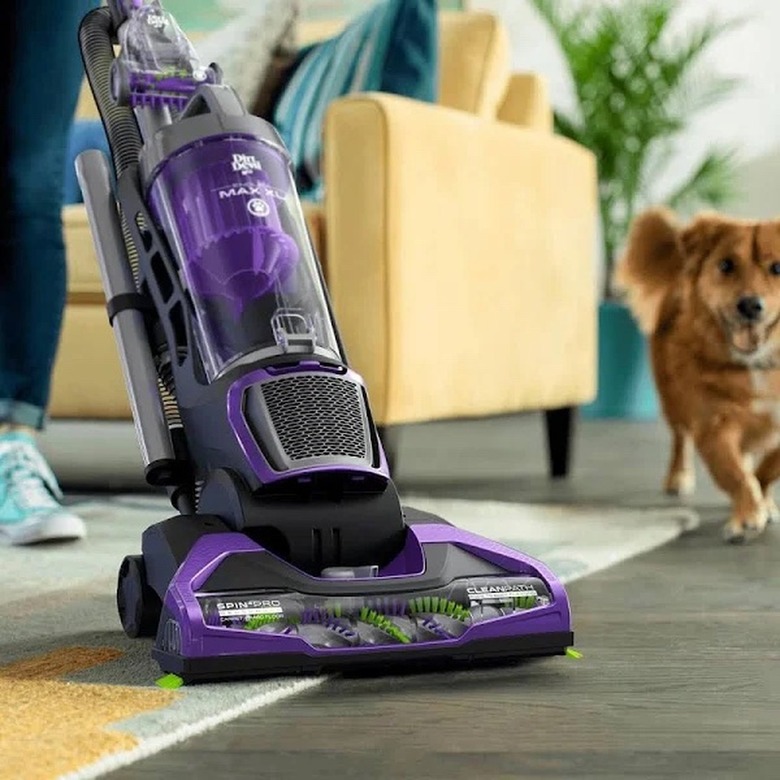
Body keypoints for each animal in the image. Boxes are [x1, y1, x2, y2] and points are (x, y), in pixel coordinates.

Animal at [616, 207, 780, 544]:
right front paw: (747, 515)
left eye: (778, 268)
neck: (757, 363)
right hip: (673, 402)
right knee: (681, 440)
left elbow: (767, 469)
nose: (749, 305)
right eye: (726, 265)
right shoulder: (713, 424)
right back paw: (678, 477)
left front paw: (761, 501)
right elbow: (735, 474)